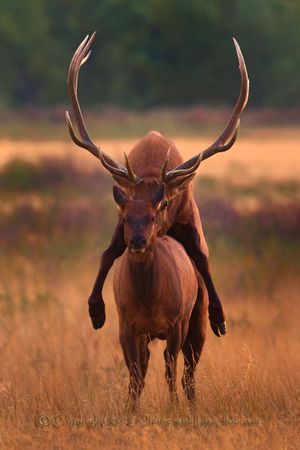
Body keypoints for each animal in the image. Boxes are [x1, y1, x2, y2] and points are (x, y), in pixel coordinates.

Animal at [67, 31, 250, 338]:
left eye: (164, 202)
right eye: (128, 206)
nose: (140, 238)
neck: (153, 170)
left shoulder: (188, 214)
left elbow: (202, 258)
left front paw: (219, 316)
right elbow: (108, 252)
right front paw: (96, 310)